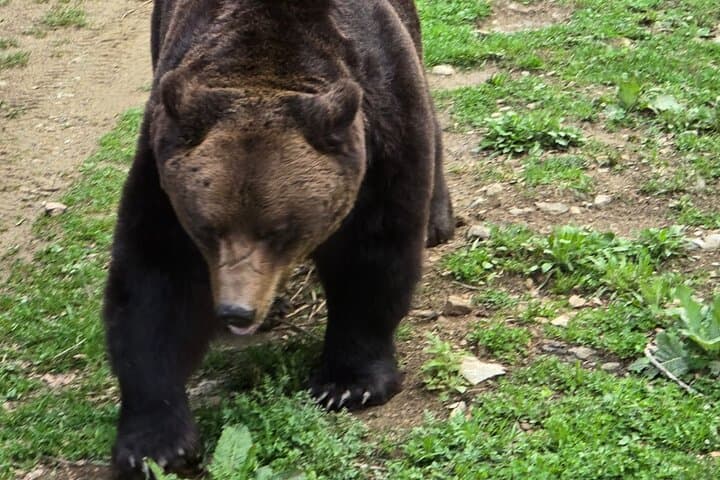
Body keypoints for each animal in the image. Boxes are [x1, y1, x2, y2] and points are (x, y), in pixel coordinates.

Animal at [103, 0, 454, 478]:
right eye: (208, 228)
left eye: (280, 231)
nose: (235, 310)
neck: (268, 62)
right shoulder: (163, 165)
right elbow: (155, 283)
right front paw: (155, 443)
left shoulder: (380, 126)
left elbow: (373, 255)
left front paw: (350, 382)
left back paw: (438, 220)